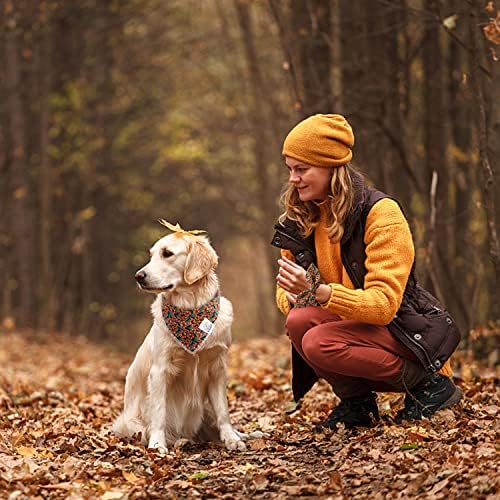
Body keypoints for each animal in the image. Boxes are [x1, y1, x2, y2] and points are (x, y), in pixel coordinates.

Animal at [113, 227, 246, 454]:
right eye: (151, 255)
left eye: (167, 253)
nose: (138, 276)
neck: (191, 308)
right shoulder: (160, 370)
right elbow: (159, 413)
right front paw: (158, 444)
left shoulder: (217, 368)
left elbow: (223, 412)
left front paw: (232, 439)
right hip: (130, 422)